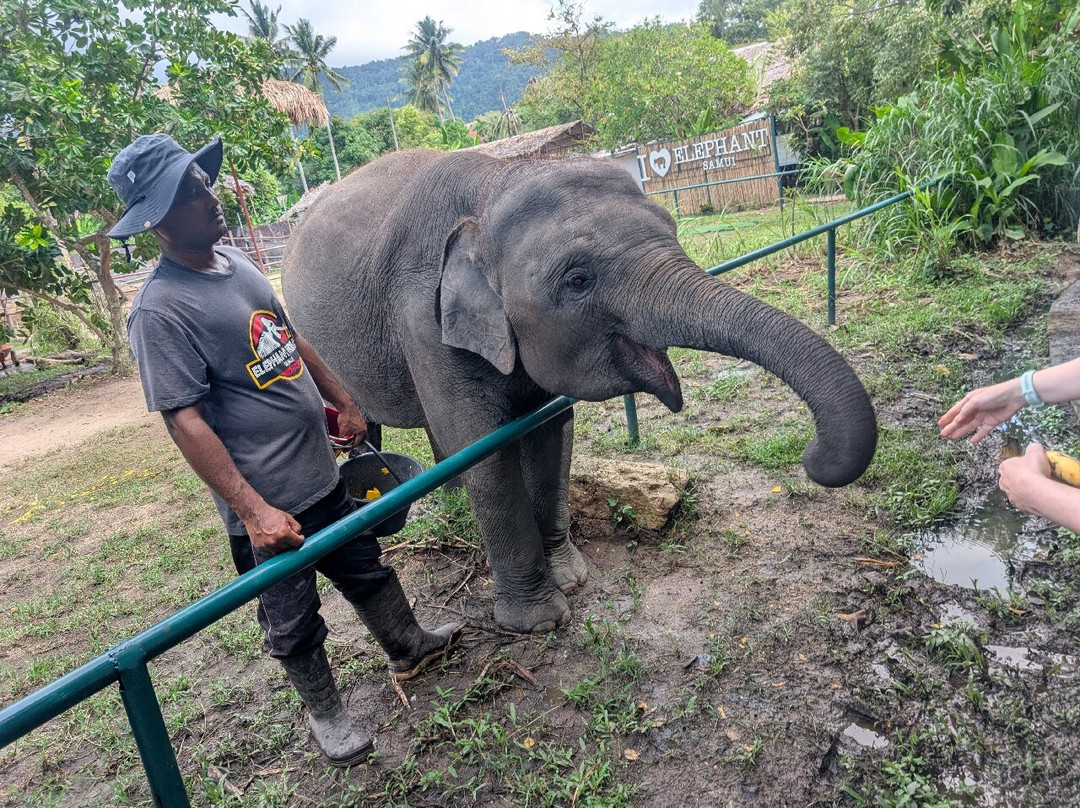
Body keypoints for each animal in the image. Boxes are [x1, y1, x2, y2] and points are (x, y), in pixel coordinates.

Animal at [281, 149, 877, 634]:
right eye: (577, 280)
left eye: (673, 229)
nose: (814, 456)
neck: (490, 185)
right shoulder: (425, 323)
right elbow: (487, 453)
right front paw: (539, 623)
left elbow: (550, 433)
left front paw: (571, 578)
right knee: (368, 424)